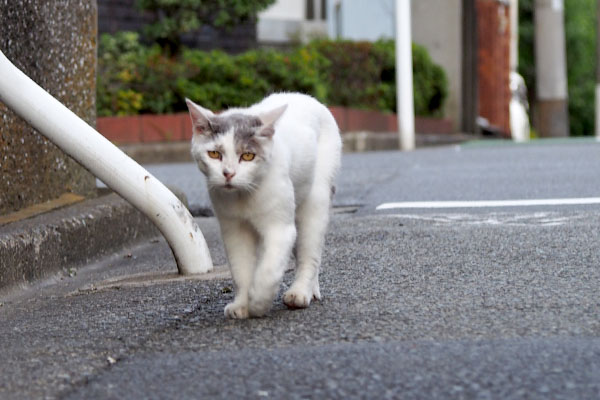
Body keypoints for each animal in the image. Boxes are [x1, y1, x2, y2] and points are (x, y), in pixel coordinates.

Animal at [183, 93, 342, 318]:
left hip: (315, 201)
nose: (228, 173)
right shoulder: (234, 231)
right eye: (214, 154)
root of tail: (306, 97)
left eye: (248, 156)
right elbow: (241, 270)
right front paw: (241, 305)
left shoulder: (280, 229)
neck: (243, 195)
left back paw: (300, 293)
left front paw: (258, 303)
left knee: (309, 255)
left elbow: (268, 270)